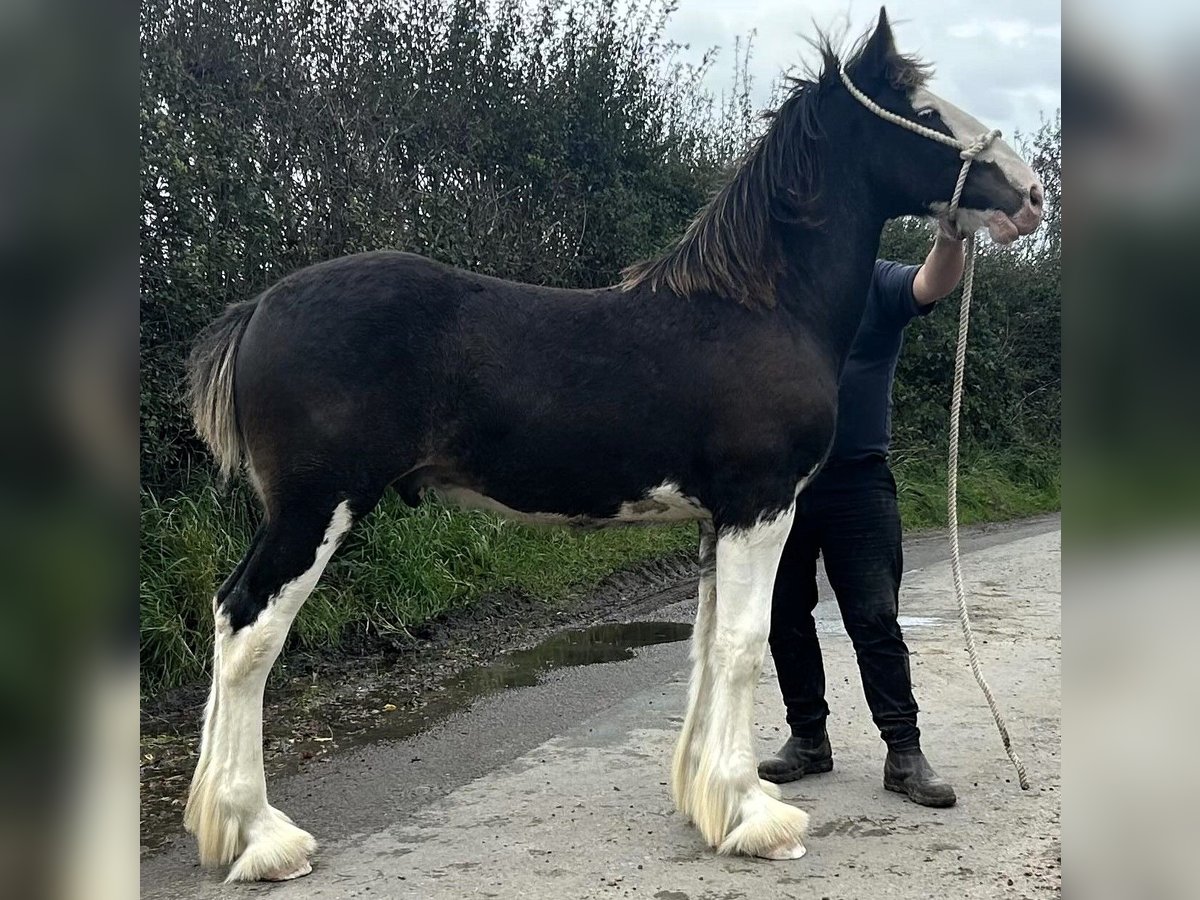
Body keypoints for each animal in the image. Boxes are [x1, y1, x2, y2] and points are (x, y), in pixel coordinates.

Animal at [180, 10, 1041, 883]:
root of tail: (260, 307)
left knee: (226, 618)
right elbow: (742, 646)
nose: (1031, 193)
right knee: (250, 632)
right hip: (315, 509)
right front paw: (757, 820)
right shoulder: (760, 508)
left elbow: (706, 644)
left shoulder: (715, 520)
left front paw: (709, 801)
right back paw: (262, 837)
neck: (762, 308)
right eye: (924, 109)